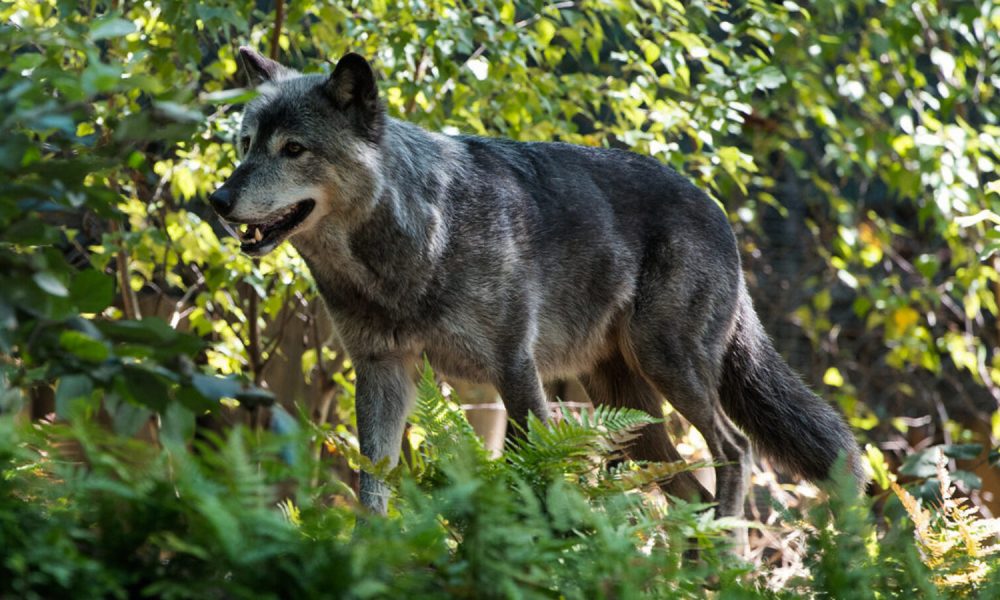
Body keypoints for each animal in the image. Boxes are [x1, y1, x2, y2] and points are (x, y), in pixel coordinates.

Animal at [209, 47, 865, 519]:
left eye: (294, 149)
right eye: (245, 144)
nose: (217, 199)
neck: (416, 243)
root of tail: (720, 211)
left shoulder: (514, 368)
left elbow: (535, 472)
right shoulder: (382, 370)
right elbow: (375, 484)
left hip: (669, 368)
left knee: (734, 451)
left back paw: (720, 558)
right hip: (627, 406)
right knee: (690, 486)